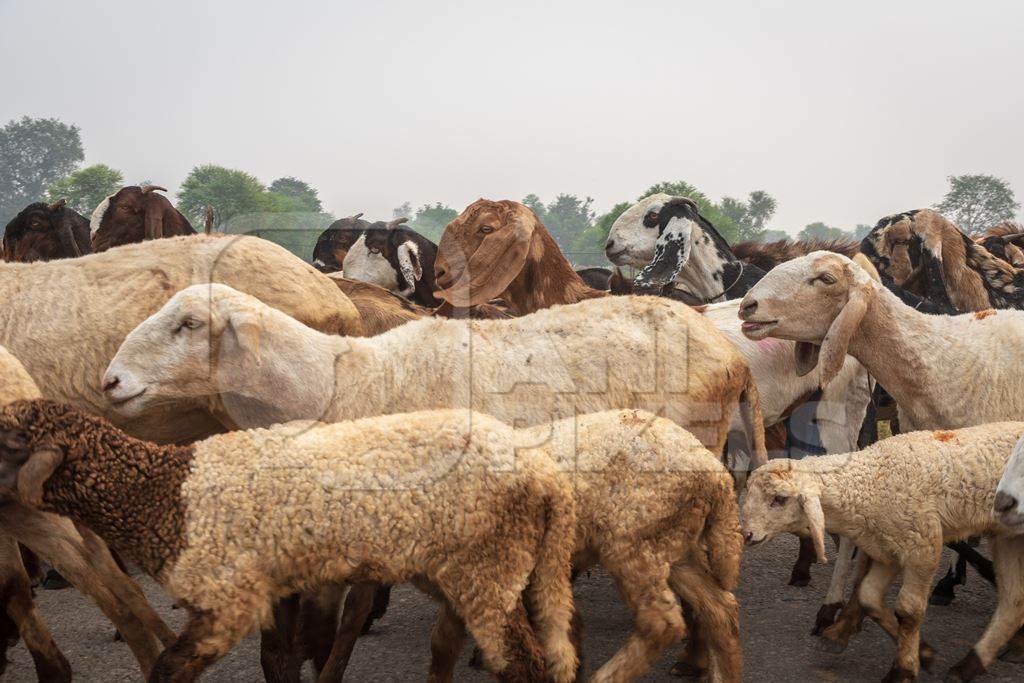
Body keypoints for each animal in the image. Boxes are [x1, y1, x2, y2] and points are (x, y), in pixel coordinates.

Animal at [0, 401, 581, 683]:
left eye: (7, 440)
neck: (161, 491)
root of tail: (544, 473)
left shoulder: (228, 598)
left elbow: (168, 668)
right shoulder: (274, 585)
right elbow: (278, 661)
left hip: (488, 566)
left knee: (522, 664)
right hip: (462, 568)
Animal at [741, 423, 1024, 679]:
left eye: (780, 499)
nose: (747, 534)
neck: (872, 480)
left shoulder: (923, 548)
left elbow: (908, 611)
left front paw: (903, 670)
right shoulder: (888, 550)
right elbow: (869, 596)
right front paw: (924, 653)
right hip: (1008, 537)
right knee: (1013, 601)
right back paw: (969, 666)